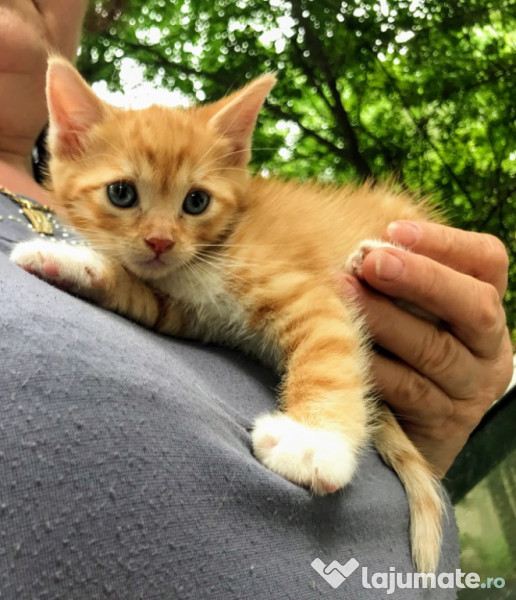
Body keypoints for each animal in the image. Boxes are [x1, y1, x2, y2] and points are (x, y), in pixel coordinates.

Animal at [14, 57, 446, 572]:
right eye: (121, 194)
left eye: (196, 201)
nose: (160, 241)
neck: (206, 256)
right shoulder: (185, 311)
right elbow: (139, 294)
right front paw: (68, 261)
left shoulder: (309, 295)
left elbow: (328, 361)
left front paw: (315, 442)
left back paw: (374, 254)